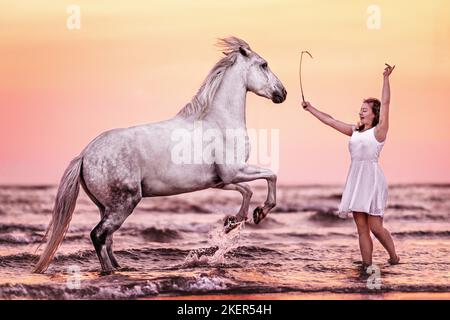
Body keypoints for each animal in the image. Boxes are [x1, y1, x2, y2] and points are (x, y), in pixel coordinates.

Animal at [35, 37, 288, 272]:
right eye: (264, 64)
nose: (282, 93)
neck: (218, 122)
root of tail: (85, 154)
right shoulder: (234, 172)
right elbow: (270, 175)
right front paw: (261, 212)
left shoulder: (220, 181)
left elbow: (247, 190)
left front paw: (234, 221)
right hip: (124, 203)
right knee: (98, 236)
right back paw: (110, 271)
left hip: (106, 207)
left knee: (108, 240)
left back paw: (120, 268)